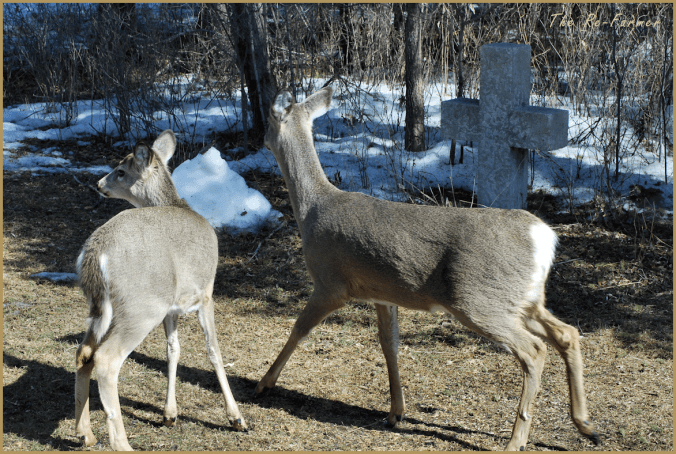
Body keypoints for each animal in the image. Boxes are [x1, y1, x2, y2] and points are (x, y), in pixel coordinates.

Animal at [75, 130, 247, 451]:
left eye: (121, 170)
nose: (99, 184)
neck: (179, 204)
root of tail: (95, 253)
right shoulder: (206, 293)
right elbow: (214, 350)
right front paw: (236, 417)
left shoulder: (173, 306)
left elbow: (173, 350)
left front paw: (170, 414)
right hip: (141, 307)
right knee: (106, 359)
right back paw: (121, 443)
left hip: (101, 307)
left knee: (84, 353)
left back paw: (85, 434)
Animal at [253, 87, 600, 451]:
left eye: (268, 124)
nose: (260, 140)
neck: (312, 209)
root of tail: (543, 237)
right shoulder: (382, 293)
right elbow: (389, 344)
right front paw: (396, 412)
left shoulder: (330, 284)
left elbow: (298, 329)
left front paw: (264, 384)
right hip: (524, 299)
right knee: (567, 333)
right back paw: (585, 424)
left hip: (478, 299)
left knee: (534, 350)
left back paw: (516, 441)